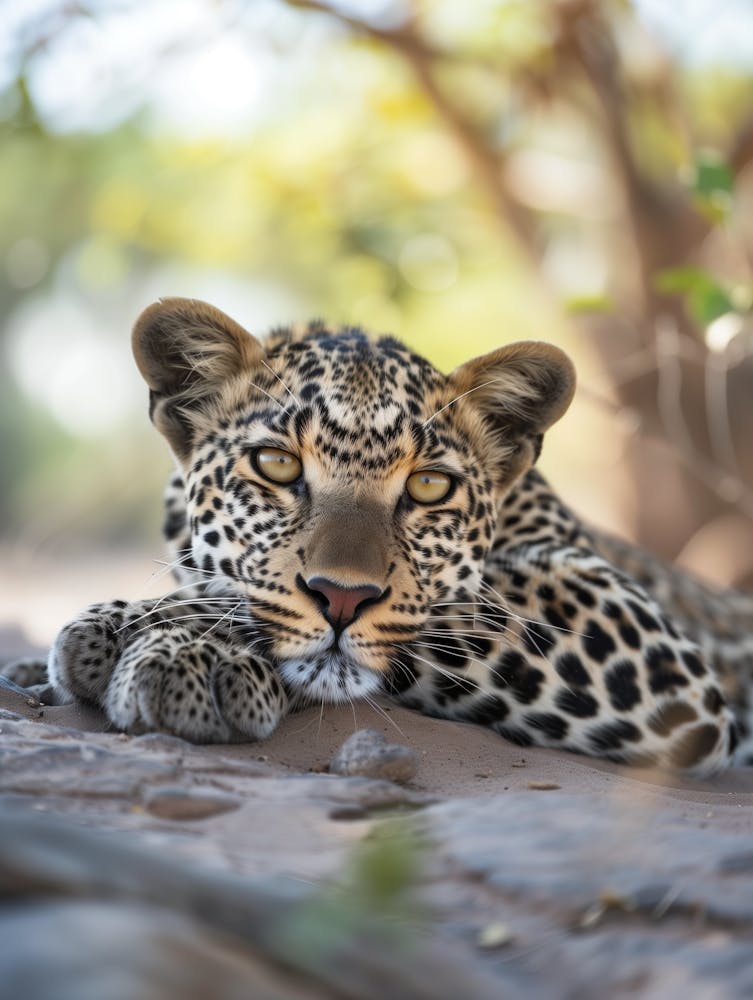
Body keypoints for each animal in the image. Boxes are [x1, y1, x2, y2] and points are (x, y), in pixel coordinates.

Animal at [6, 297, 753, 775]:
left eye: (428, 486)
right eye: (277, 465)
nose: (342, 598)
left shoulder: (635, 636)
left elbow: (433, 611)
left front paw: (169, 643)